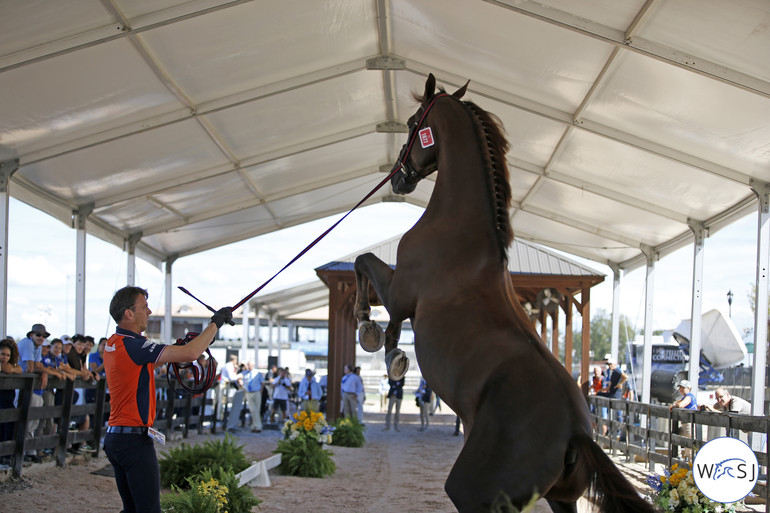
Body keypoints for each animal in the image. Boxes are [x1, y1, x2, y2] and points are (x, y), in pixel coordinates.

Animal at [352, 75, 652, 512]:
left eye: (411, 124)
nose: (398, 178)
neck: (459, 228)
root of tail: (576, 434)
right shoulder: (398, 295)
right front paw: (387, 348)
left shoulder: (399, 292)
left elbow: (364, 264)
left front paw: (375, 337)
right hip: (561, 499)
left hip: (472, 493)